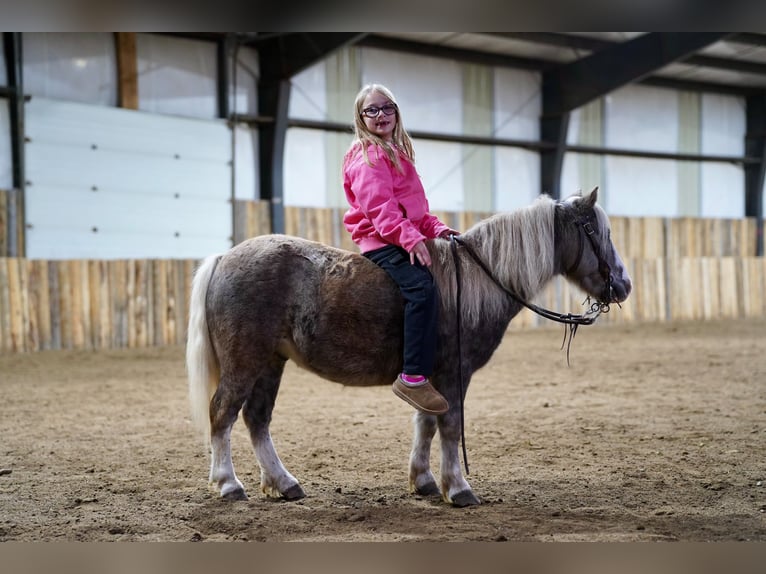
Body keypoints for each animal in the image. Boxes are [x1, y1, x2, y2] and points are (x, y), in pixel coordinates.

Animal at [186, 187, 632, 507]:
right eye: (598, 232)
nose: (623, 284)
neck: (477, 278)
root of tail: (225, 257)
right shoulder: (453, 373)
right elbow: (449, 426)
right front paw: (459, 488)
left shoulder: (428, 376)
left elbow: (426, 423)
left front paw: (425, 481)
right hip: (245, 362)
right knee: (223, 414)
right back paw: (228, 484)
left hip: (270, 363)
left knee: (257, 419)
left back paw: (282, 483)